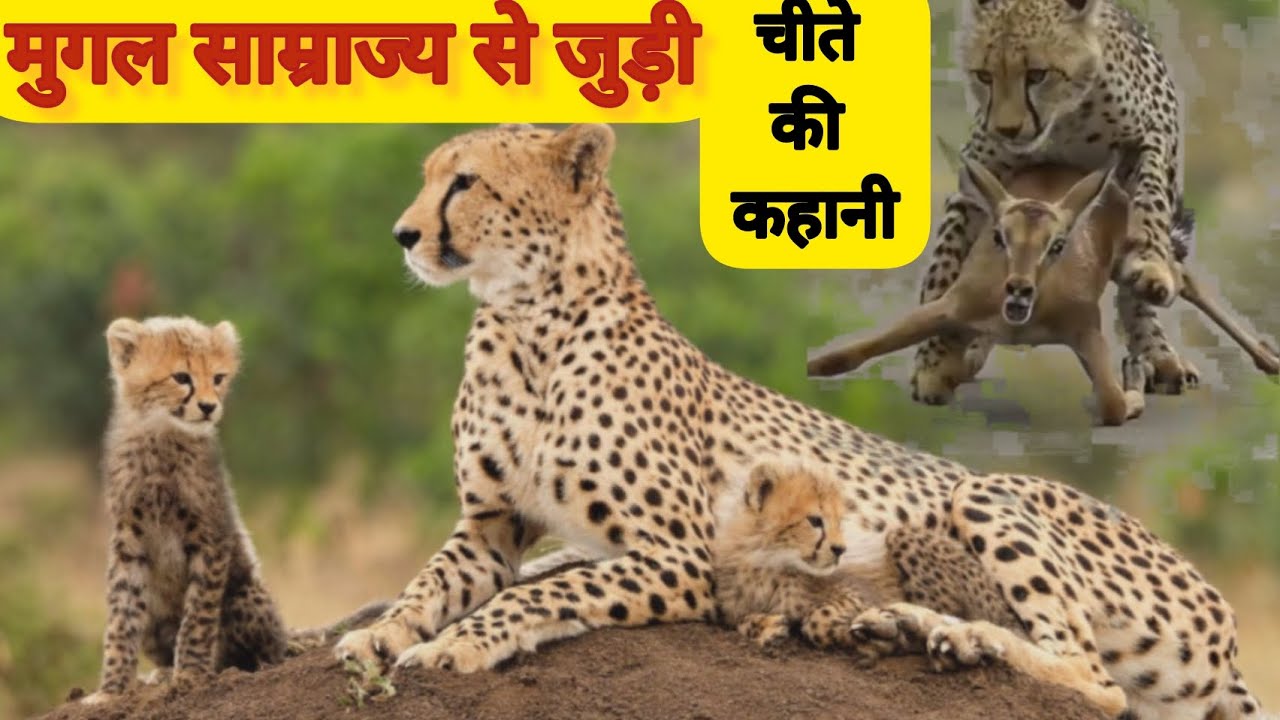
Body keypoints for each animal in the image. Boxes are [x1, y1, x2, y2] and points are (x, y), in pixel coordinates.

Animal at [83, 316, 388, 705]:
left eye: (218, 378)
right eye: (181, 377)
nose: (209, 406)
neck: (162, 435)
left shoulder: (212, 535)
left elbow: (198, 616)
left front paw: (190, 675)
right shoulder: (128, 541)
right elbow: (121, 619)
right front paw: (111, 690)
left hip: (246, 596)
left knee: (263, 652)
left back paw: (240, 666)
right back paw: (163, 672)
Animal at [332, 123, 1260, 719]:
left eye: (465, 181)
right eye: (429, 175)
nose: (403, 233)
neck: (526, 318)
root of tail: (1224, 620)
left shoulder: (679, 559)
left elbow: (544, 592)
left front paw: (455, 646)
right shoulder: (491, 524)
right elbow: (431, 582)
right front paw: (378, 637)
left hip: (987, 491)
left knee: (1094, 678)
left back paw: (951, 632)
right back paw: (910, 624)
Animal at [910, 0, 1201, 406]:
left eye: (1037, 74)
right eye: (984, 76)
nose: (1007, 129)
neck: (1066, 122)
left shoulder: (1150, 140)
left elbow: (1151, 199)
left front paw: (1150, 264)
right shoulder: (978, 184)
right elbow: (944, 268)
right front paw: (934, 361)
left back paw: (1157, 353)